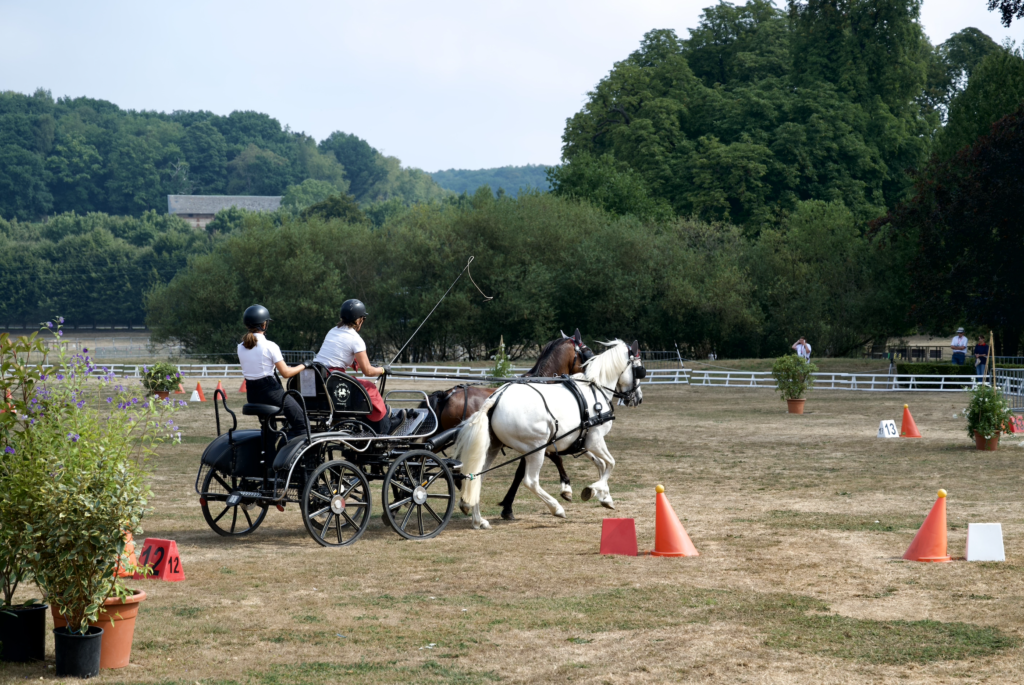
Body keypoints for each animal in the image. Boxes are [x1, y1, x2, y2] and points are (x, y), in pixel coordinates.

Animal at [421, 329, 593, 518]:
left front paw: (507, 506)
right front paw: (566, 488)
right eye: (588, 352)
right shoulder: (537, 442)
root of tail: (447, 394)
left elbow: (520, 473)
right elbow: (552, 460)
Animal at [454, 339, 643, 528]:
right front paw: (593, 490)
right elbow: (611, 463)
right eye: (639, 370)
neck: (595, 390)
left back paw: (479, 520)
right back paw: (556, 508)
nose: (638, 398)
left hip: (492, 447)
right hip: (536, 448)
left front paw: (605, 497)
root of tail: (496, 398)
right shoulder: (595, 440)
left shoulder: (578, 442)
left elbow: (601, 465)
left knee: (477, 477)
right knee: (530, 481)